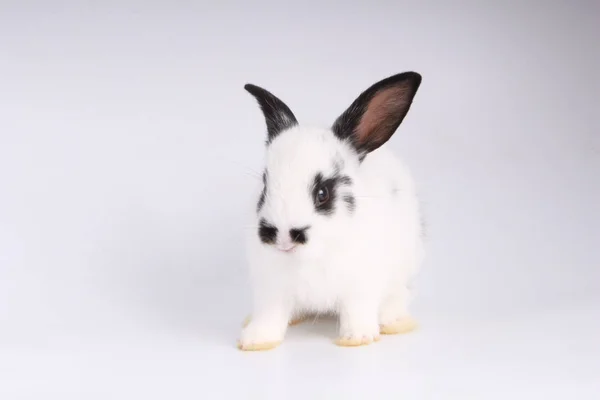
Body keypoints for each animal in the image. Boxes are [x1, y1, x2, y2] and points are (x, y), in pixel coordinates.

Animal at [237, 71, 424, 350]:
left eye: (323, 193)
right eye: (265, 185)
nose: (281, 235)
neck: (311, 257)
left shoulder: (361, 285)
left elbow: (357, 311)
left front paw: (357, 338)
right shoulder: (271, 290)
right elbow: (270, 315)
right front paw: (255, 341)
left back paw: (395, 324)